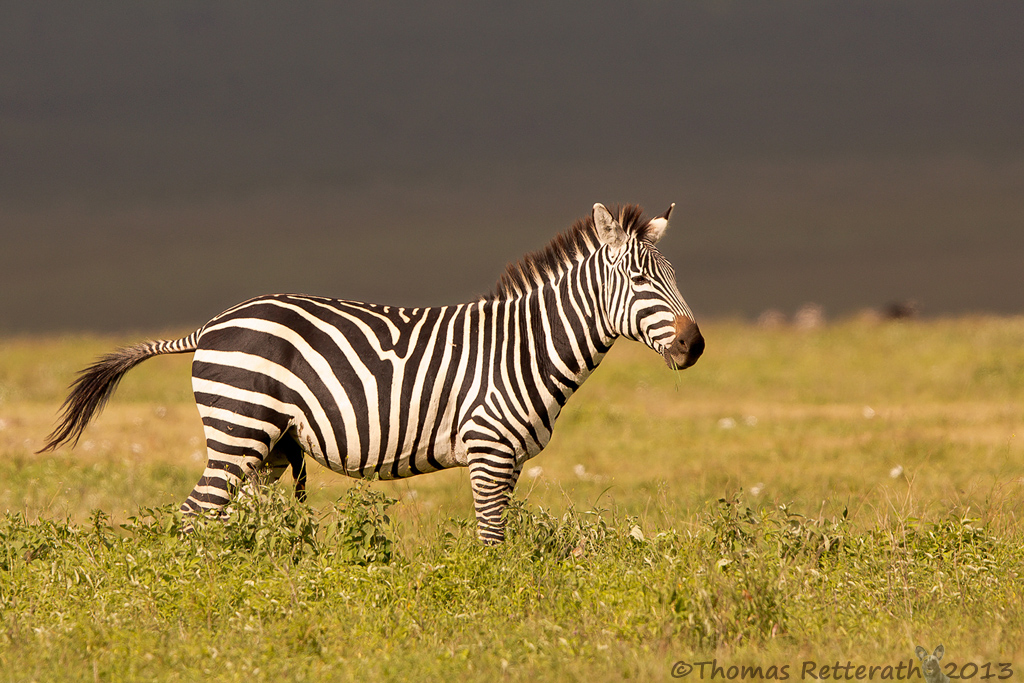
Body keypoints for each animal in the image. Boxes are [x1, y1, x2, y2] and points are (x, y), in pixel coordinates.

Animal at [44, 202, 708, 544]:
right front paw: (495, 606)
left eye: (675, 276)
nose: (696, 344)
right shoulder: (488, 449)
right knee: (195, 515)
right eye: (640, 278)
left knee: (237, 520)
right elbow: (493, 543)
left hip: (266, 450)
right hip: (239, 431)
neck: (527, 346)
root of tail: (209, 327)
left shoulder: (512, 459)